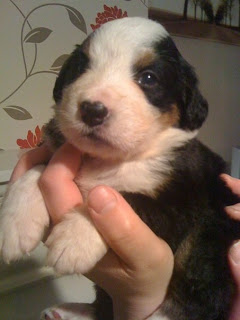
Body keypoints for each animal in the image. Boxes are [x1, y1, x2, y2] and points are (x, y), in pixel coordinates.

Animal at [0, 16, 240, 320]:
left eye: (148, 78)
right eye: (82, 67)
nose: (92, 110)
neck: (110, 159)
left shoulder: (179, 203)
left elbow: (125, 199)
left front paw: (74, 239)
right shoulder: (58, 151)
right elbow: (36, 171)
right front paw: (14, 225)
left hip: (210, 231)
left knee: (201, 292)